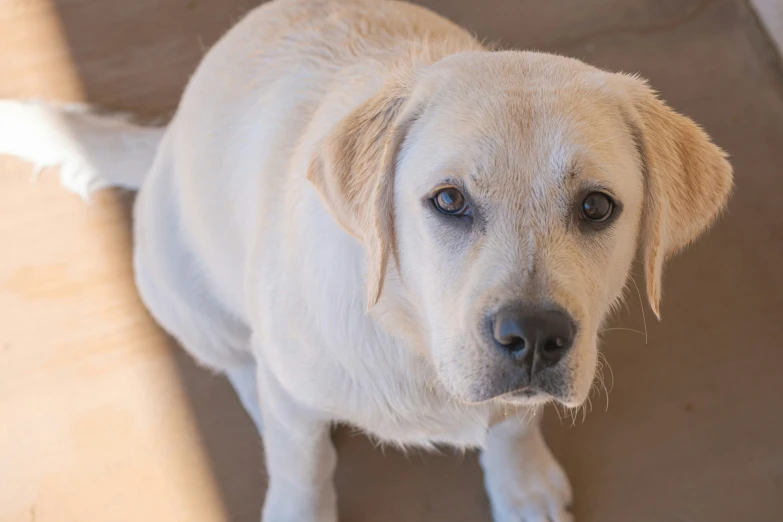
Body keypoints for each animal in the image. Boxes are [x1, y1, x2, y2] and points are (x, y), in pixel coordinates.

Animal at [0, 1, 736, 520]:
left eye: (596, 207)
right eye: (448, 199)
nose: (533, 337)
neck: (411, 339)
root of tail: (166, 142)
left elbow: (511, 421)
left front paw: (522, 484)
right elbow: (303, 472)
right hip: (185, 293)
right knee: (244, 364)